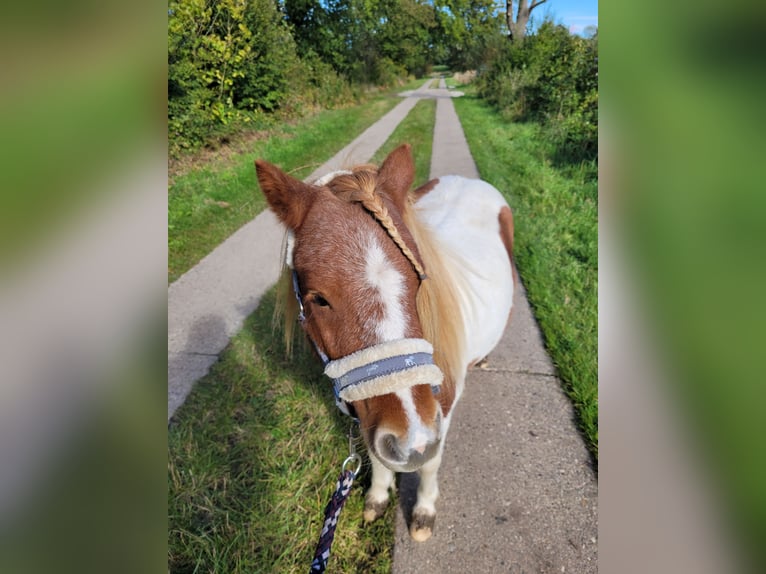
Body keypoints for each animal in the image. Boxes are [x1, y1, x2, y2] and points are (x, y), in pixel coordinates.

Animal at [256, 145, 516, 544]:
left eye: (420, 277)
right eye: (318, 299)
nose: (411, 441)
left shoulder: (437, 417)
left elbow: (431, 463)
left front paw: (424, 510)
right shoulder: (369, 413)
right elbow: (377, 456)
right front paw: (378, 497)